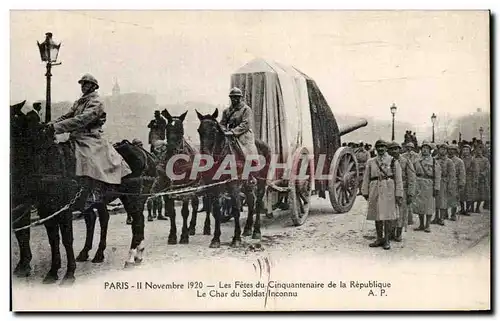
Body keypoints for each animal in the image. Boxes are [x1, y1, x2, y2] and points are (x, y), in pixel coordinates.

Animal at [11, 114, 156, 282]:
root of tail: (145, 153)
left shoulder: (64, 210)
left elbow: (67, 240)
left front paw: (69, 274)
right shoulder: (46, 211)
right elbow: (52, 239)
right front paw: (52, 272)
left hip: (132, 199)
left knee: (136, 223)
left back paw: (130, 258)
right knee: (121, 220)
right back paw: (131, 255)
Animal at [196, 109, 274, 246]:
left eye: (214, 130)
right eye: (199, 130)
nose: (205, 157)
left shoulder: (234, 185)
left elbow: (236, 208)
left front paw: (236, 238)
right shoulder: (215, 186)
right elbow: (216, 209)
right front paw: (215, 239)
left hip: (261, 180)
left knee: (258, 201)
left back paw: (256, 231)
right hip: (247, 184)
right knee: (251, 201)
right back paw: (247, 229)